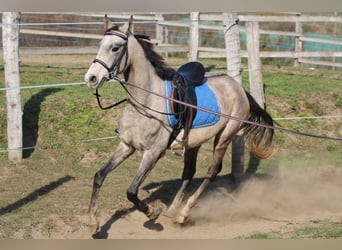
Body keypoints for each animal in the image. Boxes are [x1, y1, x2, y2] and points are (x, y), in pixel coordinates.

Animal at [84, 15, 274, 233]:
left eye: (115, 47)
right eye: (100, 45)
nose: (91, 78)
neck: (146, 101)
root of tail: (238, 88)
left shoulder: (153, 152)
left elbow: (131, 191)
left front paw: (152, 213)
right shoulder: (126, 146)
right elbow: (99, 176)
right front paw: (93, 222)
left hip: (225, 136)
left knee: (212, 171)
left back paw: (183, 213)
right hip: (193, 143)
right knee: (188, 173)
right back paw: (173, 211)